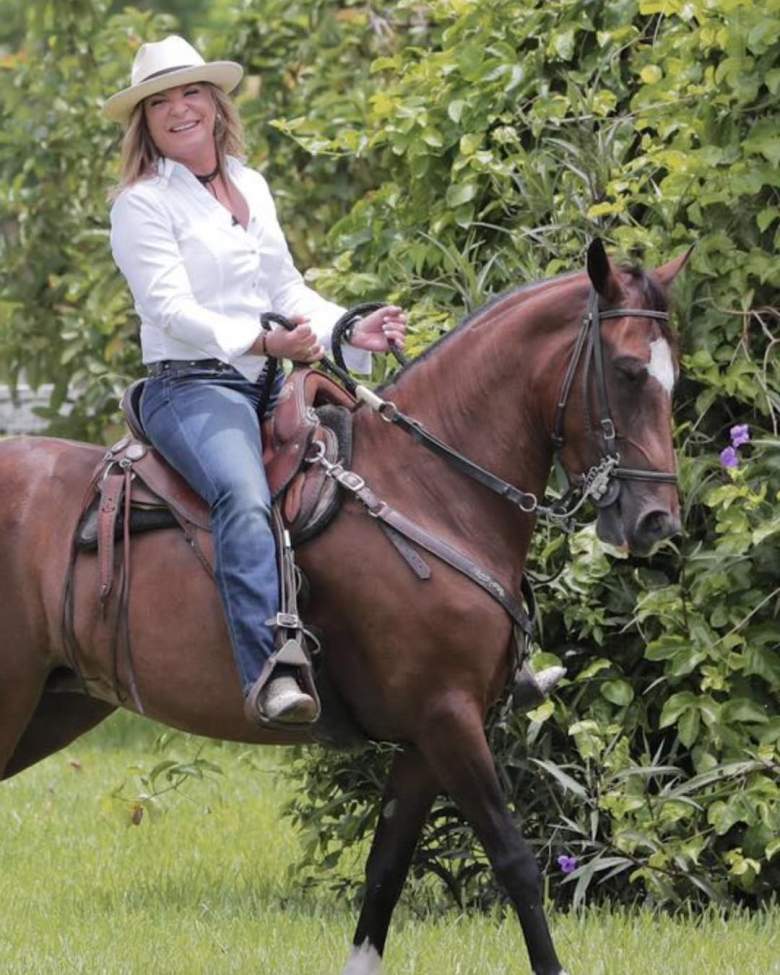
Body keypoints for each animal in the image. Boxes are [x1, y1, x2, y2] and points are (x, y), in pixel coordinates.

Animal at [0, 238, 684, 975]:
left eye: (674, 377)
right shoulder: (448, 719)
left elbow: (384, 873)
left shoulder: (424, 739)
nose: (656, 520)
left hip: (55, 705)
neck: (427, 488)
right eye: (629, 371)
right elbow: (516, 862)